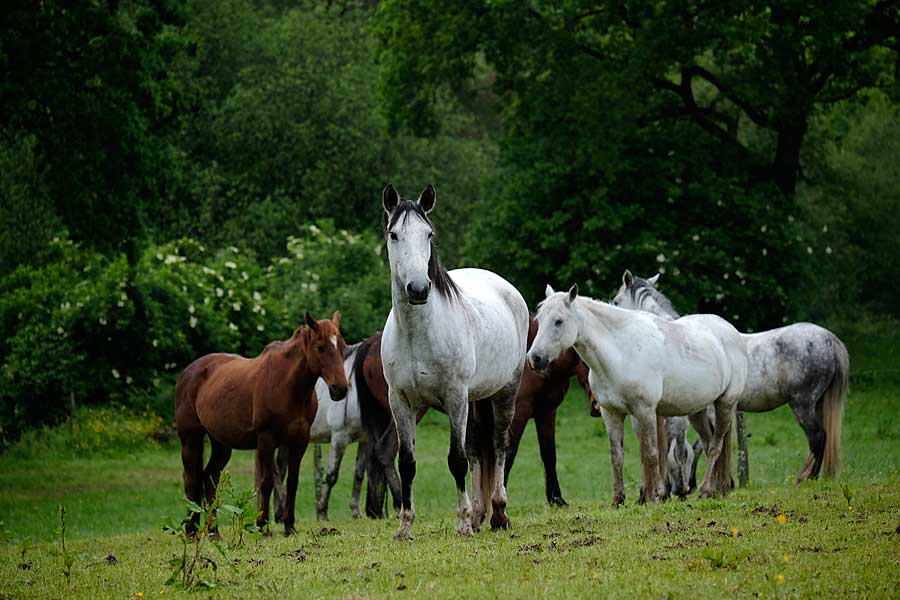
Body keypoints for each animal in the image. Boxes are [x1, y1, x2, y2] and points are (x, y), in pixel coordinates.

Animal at [175, 312, 348, 536]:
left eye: (342, 345)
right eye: (320, 347)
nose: (340, 389)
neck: (287, 386)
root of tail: (189, 372)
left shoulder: (299, 441)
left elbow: (292, 483)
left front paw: (289, 527)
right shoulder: (266, 439)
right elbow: (266, 483)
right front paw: (263, 527)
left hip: (221, 445)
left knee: (208, 479)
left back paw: (213, 532)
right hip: (190, 439)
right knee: (192, 481)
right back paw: (191, 529)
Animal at [356, 322, 596, 516]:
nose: (595, 406)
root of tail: (369, 343)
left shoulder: (546, 413)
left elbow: (548, 455)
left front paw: (556, 499)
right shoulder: (519, 412)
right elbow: (508, 453)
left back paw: (378, 508)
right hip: (409, 409)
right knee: (386, 450)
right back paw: (399, 503)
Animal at [378, 183, 528, 540]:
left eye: (429, 234)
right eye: (393, 234)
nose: (418, 289)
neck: (417, 334)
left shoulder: (455, 396)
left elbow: (456, 460)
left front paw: (462, 525)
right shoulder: (400, 401)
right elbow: (408, 464)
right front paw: (405, 527)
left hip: (504, 391)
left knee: (498, 444)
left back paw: (499, 514)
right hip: (474, 399)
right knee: (476, 446)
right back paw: (479, 514)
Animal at [528, 284, 744, 502]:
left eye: (559, 321)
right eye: (539, 320)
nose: (534, 358)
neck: (622, 353)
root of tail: (730, 330)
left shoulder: (645, 411)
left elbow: (651, 453)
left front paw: (656, 496)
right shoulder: (611, 414)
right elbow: (617, 456)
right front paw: (618, 499)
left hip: (724, 404)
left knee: (715, 447)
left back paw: (706, 490)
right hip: (697, 412)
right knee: (707, 445)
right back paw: (714, 491)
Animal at [608, 272, 848, 482]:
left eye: (617, 301)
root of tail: (830, 340)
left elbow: (707, 447)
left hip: (802, 404)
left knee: (817, 438)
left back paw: (807, 479)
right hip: (817, 404)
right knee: (823, 438)